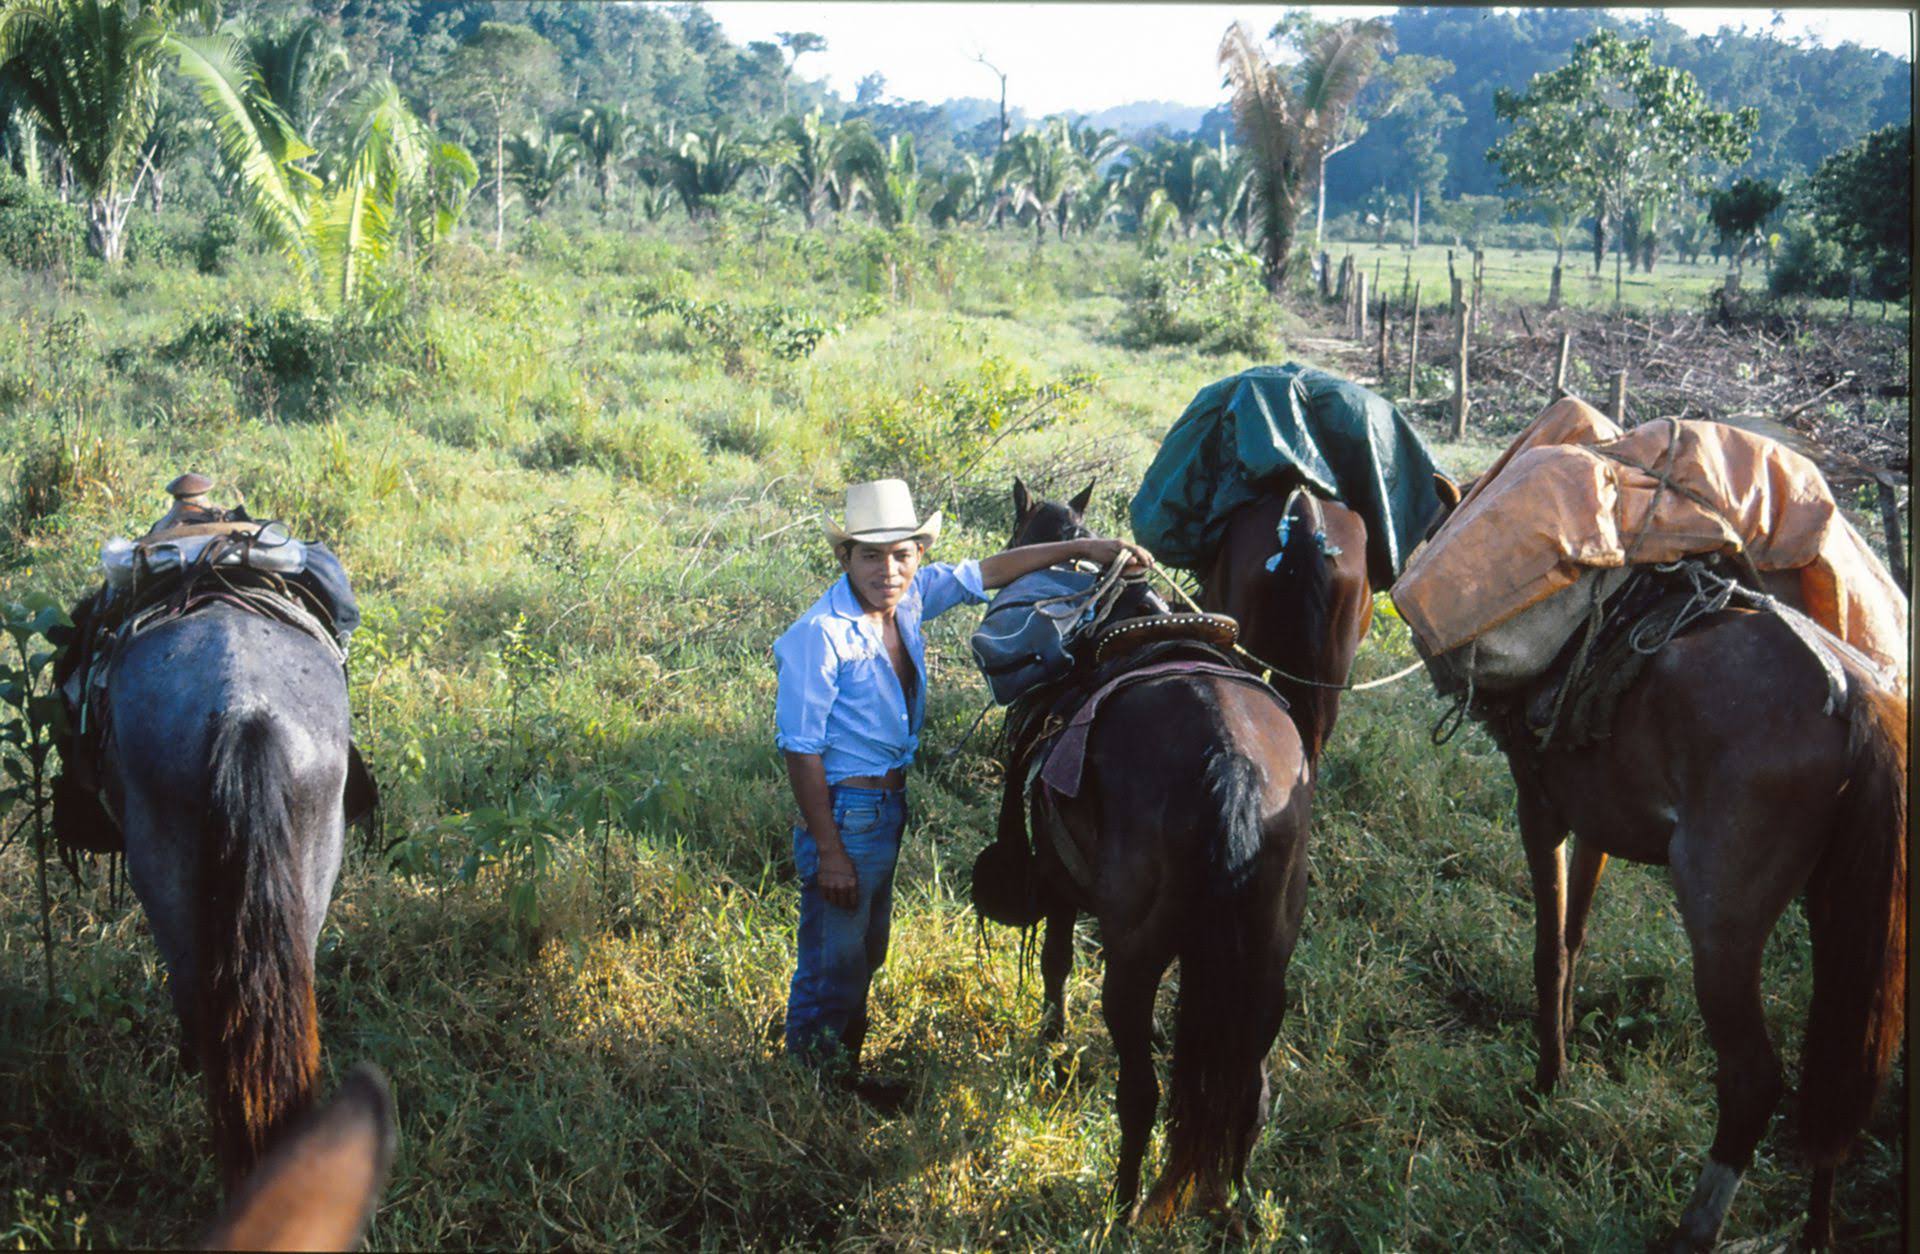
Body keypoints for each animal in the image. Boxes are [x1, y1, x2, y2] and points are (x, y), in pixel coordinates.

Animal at [1006, 482, 1320, 1221]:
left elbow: (1056, 959)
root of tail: (1231, 762)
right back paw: (1233, 1201)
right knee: (1249, 1091)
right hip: (1265, 962)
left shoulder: (1058, 878)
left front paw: (1051, 1035)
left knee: (1141, 1096)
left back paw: (1121, 1211)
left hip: (1134, 959)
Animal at [1413, 474, 1904, 1244]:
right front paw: (1567, 1042)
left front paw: (1546, 1081)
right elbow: (1574, 937)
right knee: (1836, 1072)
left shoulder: (1539, 808)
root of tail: (1855, 694)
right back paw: (1816, 1232)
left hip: (1720, 922)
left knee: (1754, 1080)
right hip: (1841, 914)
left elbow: (1546, 948)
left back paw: (1695, 1229)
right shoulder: (1597, 824)